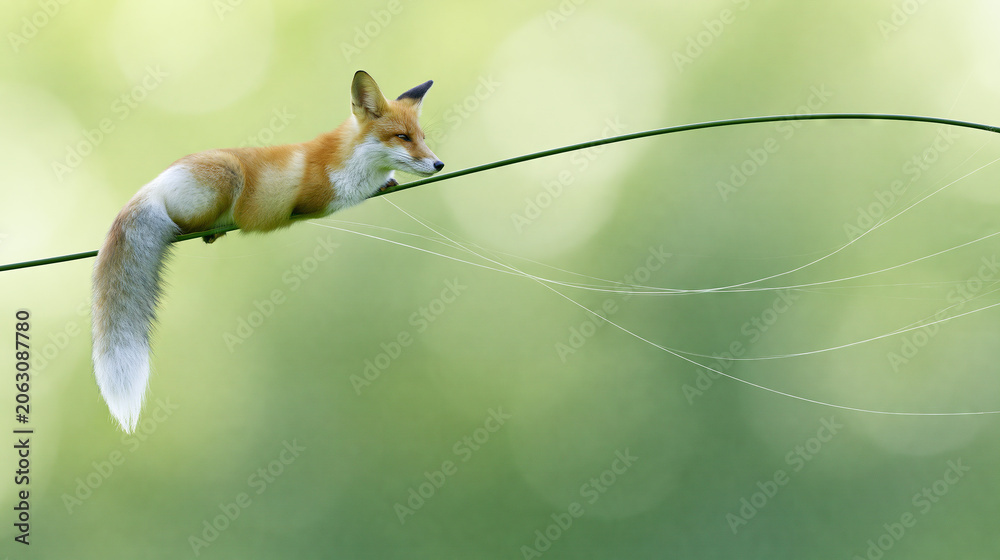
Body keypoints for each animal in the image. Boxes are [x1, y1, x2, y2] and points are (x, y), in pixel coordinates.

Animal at [92, 71, 443, 432]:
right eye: (402, 137)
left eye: (421, 137)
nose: (439, 164)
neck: (349, 160)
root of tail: (151, 186)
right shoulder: (319, 198)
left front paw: (387, 181)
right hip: (227, 175)